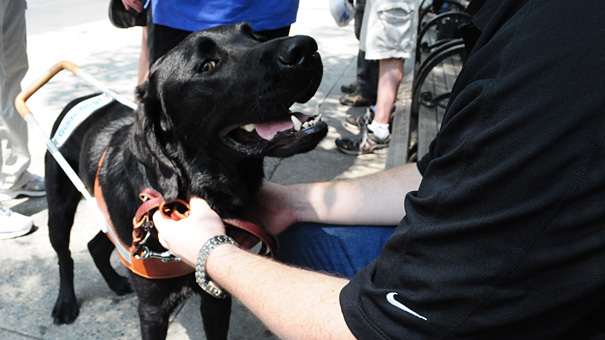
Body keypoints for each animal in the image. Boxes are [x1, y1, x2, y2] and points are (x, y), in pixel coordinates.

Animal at [46, 22, 326, 338]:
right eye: (207, 65)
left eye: (255, 36)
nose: (305, 47)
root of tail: (78, 100)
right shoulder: (153, 310)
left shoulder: (216, 295)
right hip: (59, 210)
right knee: (64, 257)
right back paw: (65, 304)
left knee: (96, 245)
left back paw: (116, 283)